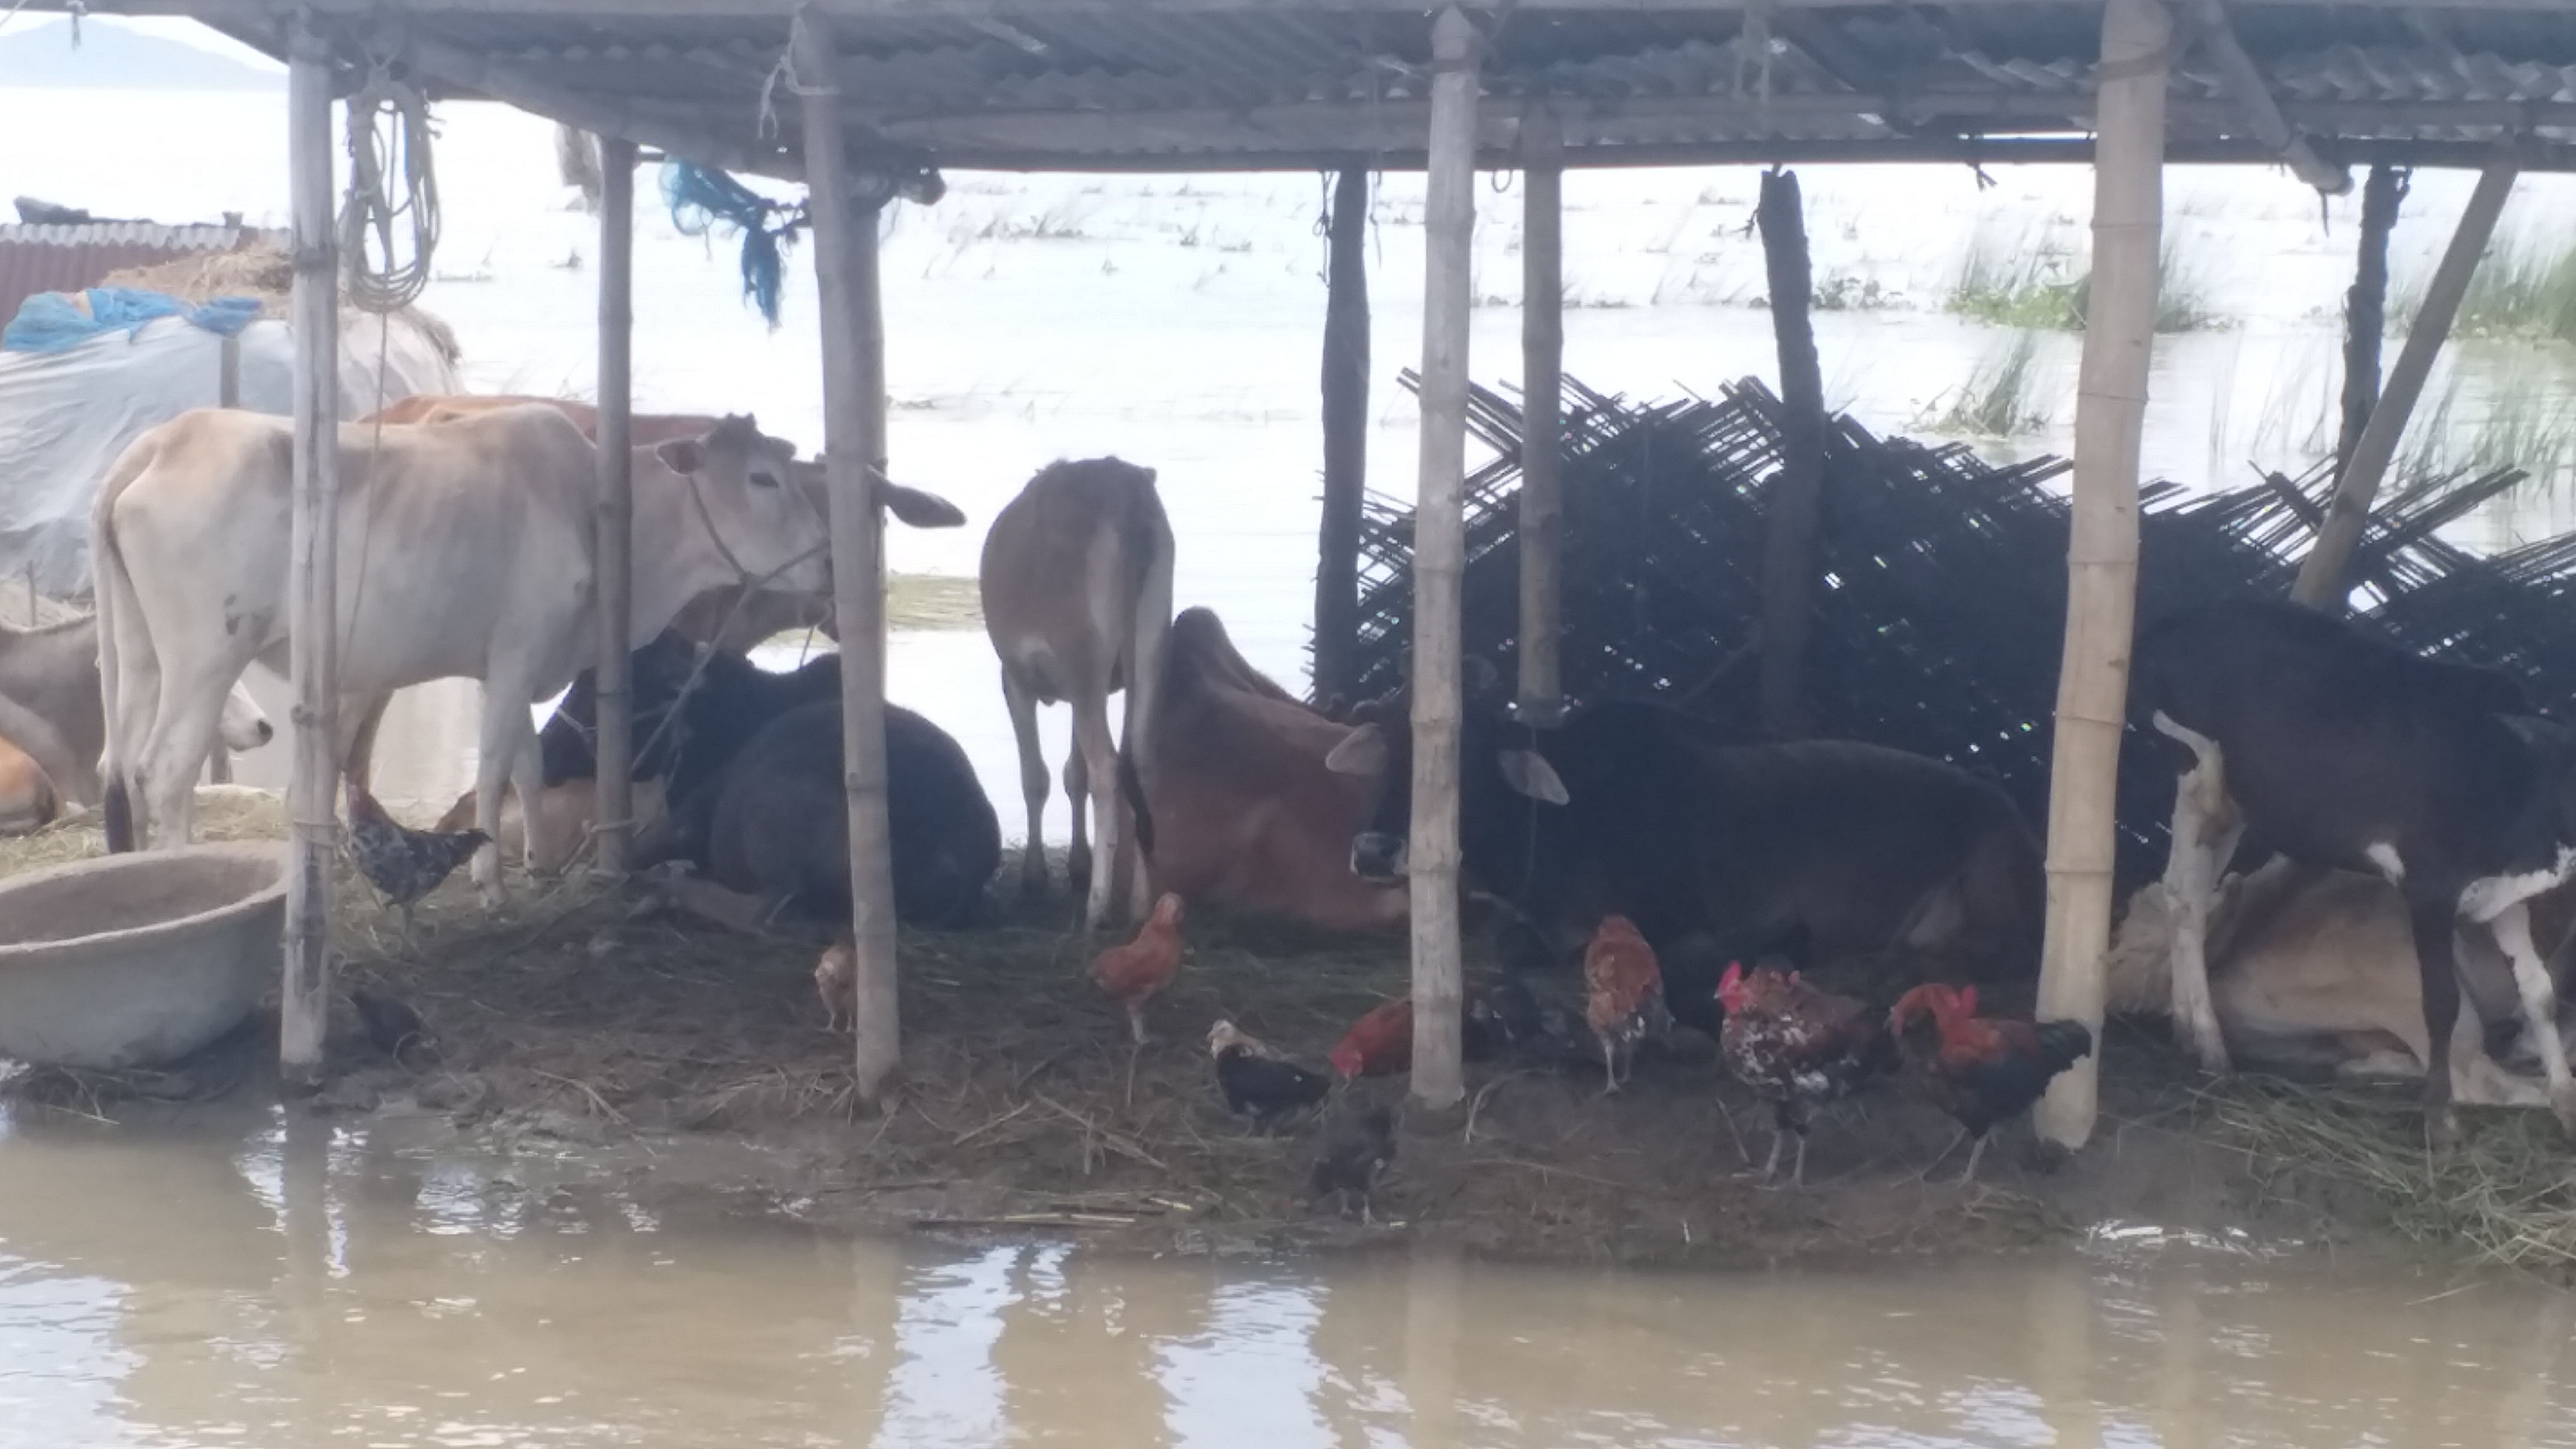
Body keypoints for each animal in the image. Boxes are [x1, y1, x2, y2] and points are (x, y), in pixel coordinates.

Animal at [93, 399, 824, 897]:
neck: (598, 507)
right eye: (762, 478)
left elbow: (527, 764)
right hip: (206, 657)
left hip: (140, 653)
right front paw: (490, 881)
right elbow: (495, 766)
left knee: (123, 762)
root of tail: (163, 441)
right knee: (167, 769)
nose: (822, 552)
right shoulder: (519, 650)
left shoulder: (511, 663)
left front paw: (536, 865)